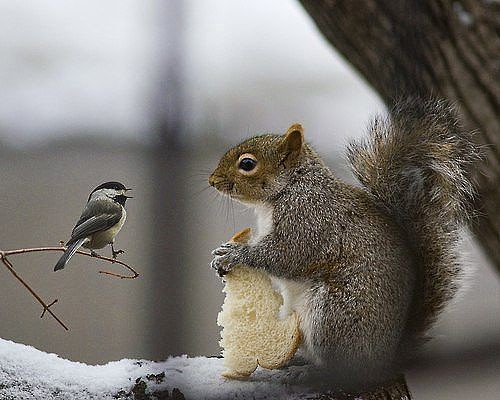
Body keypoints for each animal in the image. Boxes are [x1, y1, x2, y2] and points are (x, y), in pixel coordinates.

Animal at [208, 97, 480, 388]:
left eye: (247, 164)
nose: (212, 181)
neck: (291, 186)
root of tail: (385, 362)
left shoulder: (309, 219)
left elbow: (286, 255)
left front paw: (234, 254)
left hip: (334, 315)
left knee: (341, 367)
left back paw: (312, 373)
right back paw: (296, 360)